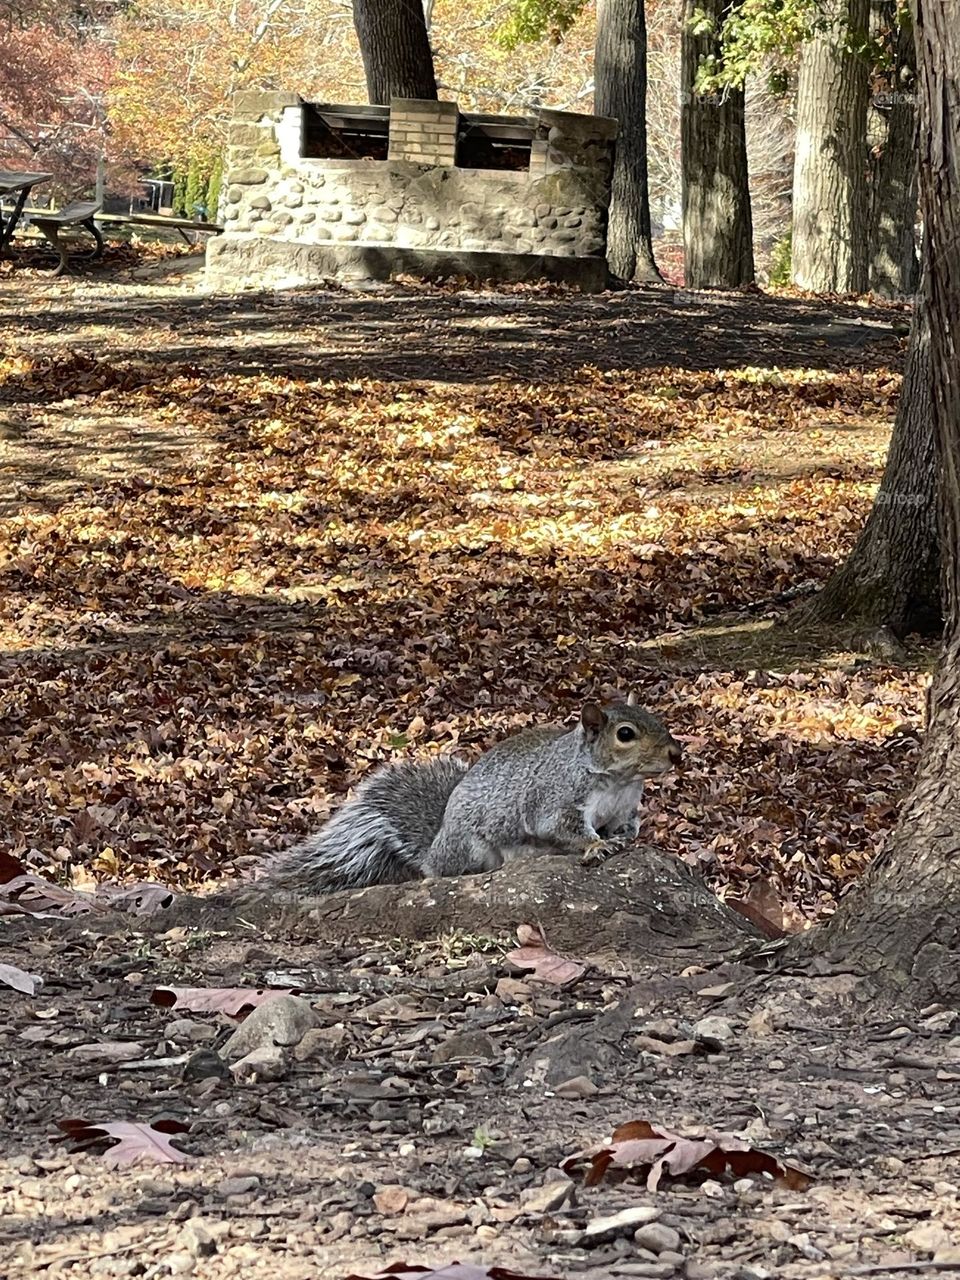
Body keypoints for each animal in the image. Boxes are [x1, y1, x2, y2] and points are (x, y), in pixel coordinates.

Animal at [255, 695, 682, 897]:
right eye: (625, 734)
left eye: (655, 716)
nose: (676, 754)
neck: (619, 782)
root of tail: (434, 851)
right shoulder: (555, 799)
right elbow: (562, 828)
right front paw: (595, 847)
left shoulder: (623, 809)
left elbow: (626, 828)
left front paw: (625, 840)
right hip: (471, 848)